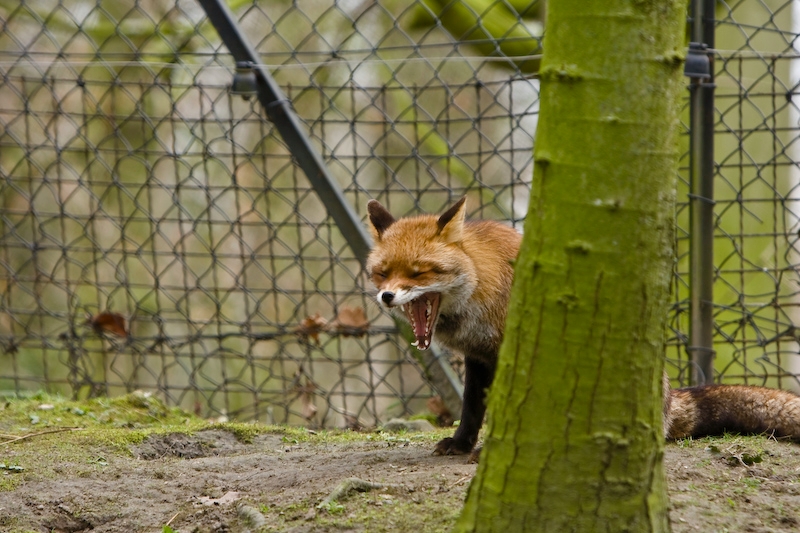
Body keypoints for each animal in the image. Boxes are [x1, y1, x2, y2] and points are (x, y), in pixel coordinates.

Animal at [366, 197, 800, 456]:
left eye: (418, 272)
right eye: (382, 272)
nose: (386, 296)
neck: (483, 290)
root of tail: (668, 400)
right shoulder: (480, 356)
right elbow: (472, 408)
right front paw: (461, 445)